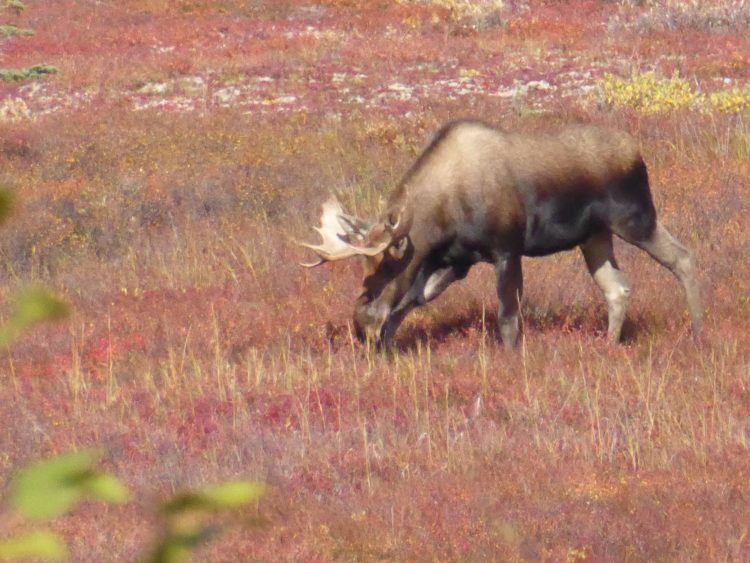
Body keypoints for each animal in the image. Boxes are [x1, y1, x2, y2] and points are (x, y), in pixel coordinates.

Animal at [298, 119, 702, 350]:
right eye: (364, 271)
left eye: (385, 269)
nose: (360, 323)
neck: (442, 216)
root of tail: (637, 152)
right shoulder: (455, 261)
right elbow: (410, 302)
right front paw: (387, 346)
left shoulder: (506, 249)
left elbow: (508, 319)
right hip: (595, 237)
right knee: (618, 289)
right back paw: (609, 345)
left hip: (635, 218)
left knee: (684, 258)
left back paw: (698, 329)